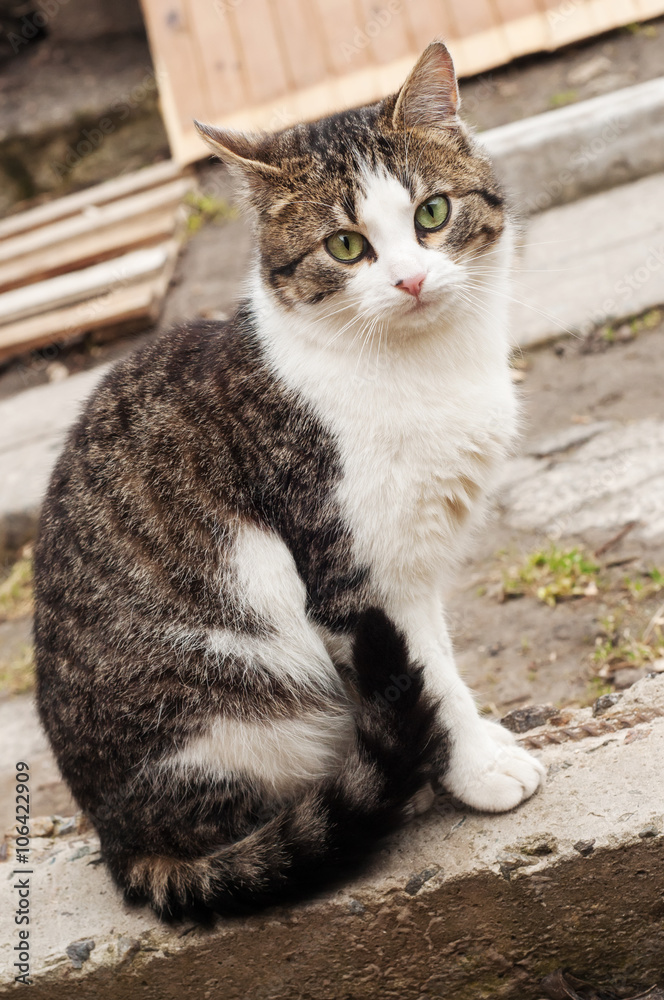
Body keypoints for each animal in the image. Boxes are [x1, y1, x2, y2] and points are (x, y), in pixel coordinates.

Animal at [32, 39, 544, 916]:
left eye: (432, 214)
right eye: (345, 247)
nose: (411, 281)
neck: (425, 367)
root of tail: (123, 846)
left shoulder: (414, 560)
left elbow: (438, 662)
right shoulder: (356, 573)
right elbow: (429, 684)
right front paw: (477, 770)